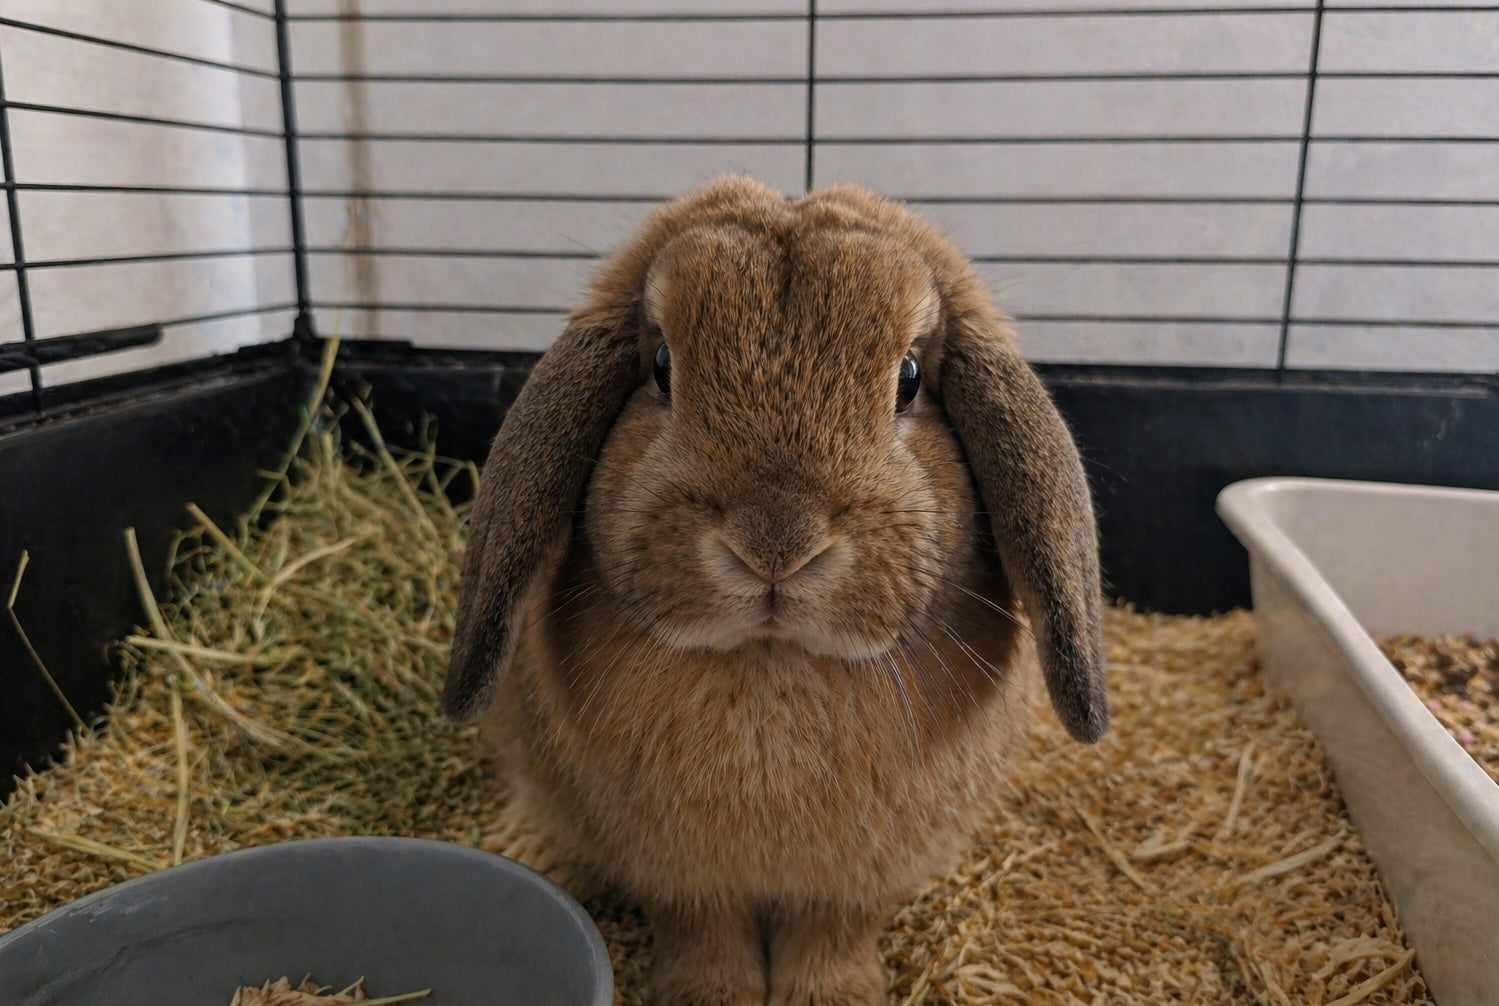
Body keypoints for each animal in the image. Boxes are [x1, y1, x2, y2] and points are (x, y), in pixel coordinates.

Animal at [443, 176, 1108, 1006]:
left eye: (909, 379)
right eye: (660, 365)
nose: (775, 547)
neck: (772, 661)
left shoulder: (858, 882)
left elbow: (833, 936)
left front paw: (833, 997)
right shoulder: (678, 876)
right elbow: (703, 934)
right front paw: (706, 997)